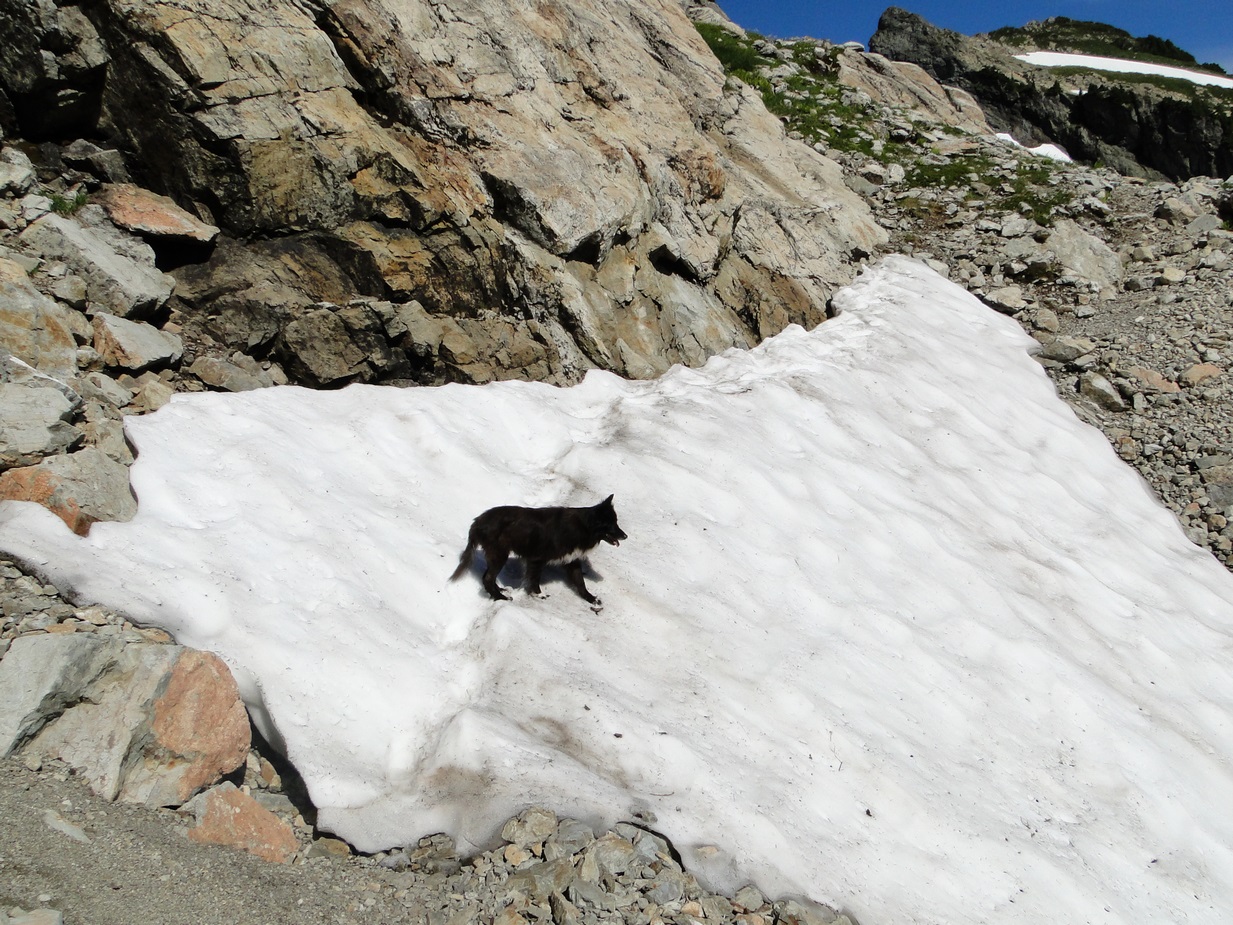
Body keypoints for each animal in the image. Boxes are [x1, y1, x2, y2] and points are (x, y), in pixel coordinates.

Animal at [450, 495, 626, 606]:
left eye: (616, 522)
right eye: (611, 524)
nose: (625, 536)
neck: (583, 527)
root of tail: (477, 522)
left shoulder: (572, 561)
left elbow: (580, 582)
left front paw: (591, 599)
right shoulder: (536, 559)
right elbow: (534, 579)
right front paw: (538, 594)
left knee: (488, 577)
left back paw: (500, 590)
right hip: (499, 554)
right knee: (487, 578)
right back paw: (501, 597)